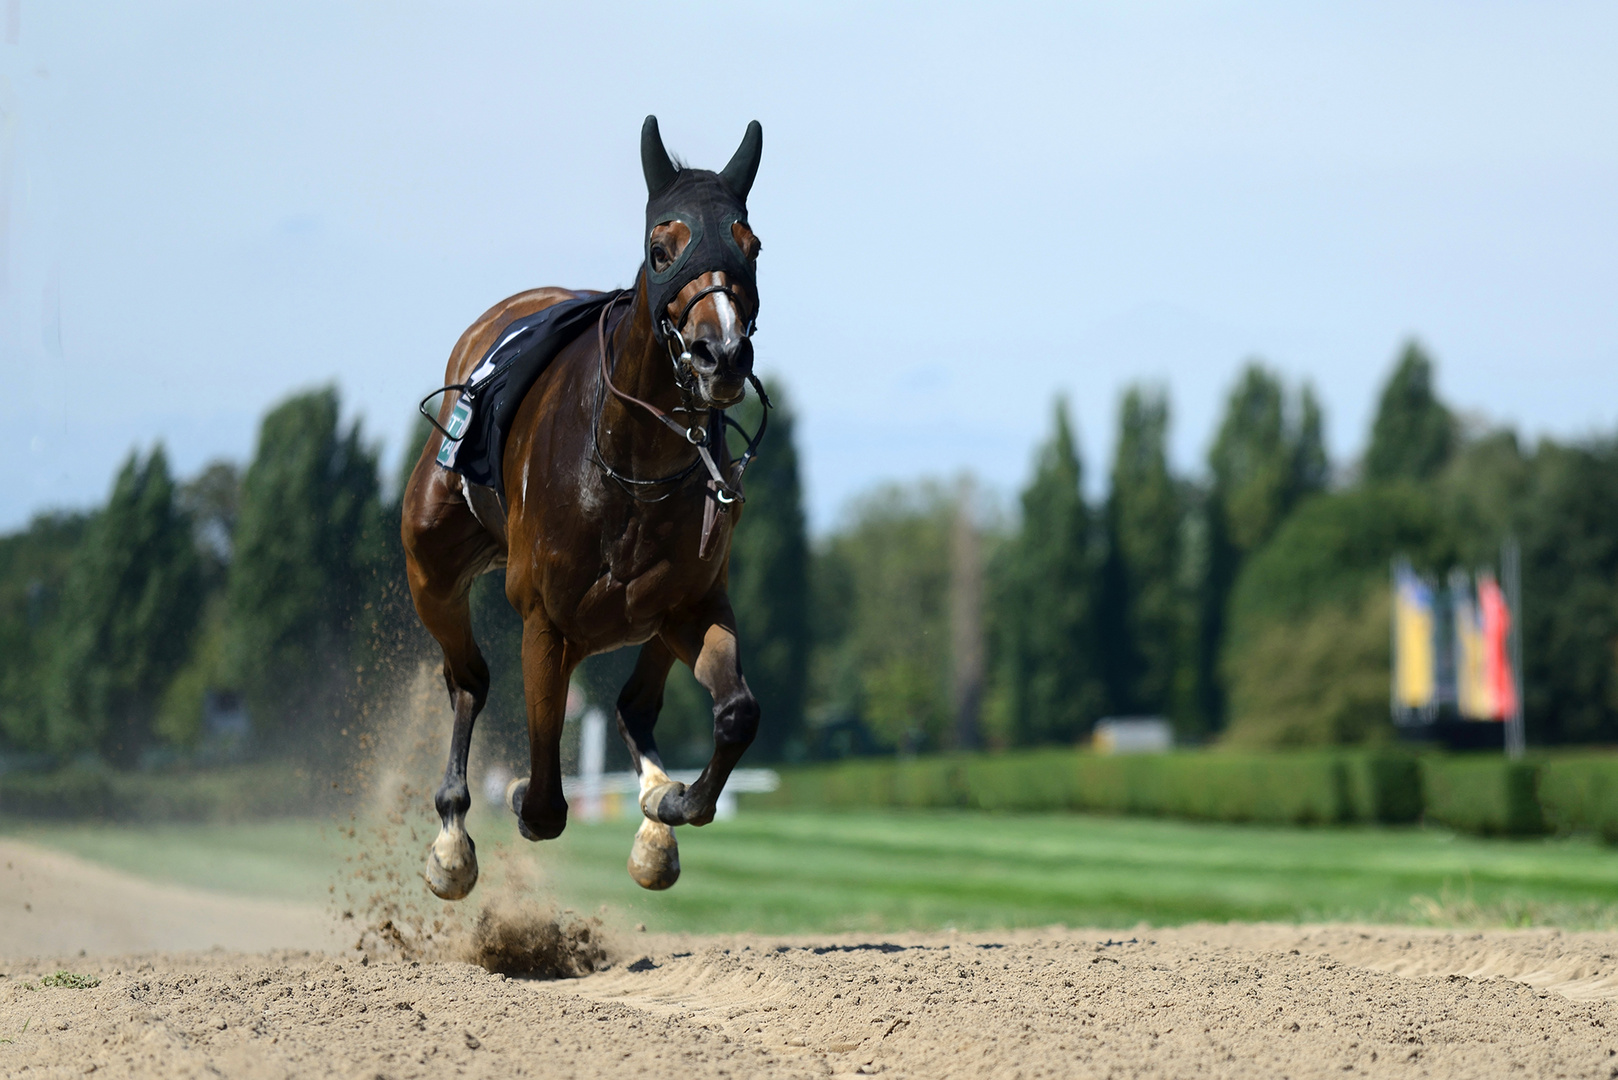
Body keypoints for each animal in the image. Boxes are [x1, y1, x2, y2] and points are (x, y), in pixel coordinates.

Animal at [398, 116, 763, 906]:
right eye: (663, 247)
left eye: (750, 246)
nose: (721, 354)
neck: (632, 466)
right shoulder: (544, 620)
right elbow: (541, 801)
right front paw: (504, 806)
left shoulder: (692, 600)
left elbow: (735, 711)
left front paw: (671, 804)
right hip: (430, 564)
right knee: (468, 679)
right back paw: (452, 838)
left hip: (659, 613)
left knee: (635, 704)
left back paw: (654, 811)